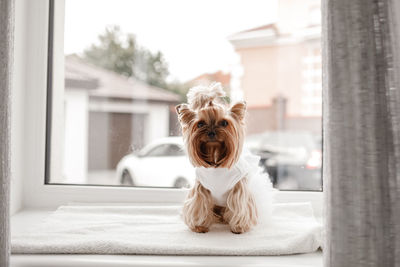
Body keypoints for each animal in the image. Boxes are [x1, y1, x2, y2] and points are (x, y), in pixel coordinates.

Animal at [177, 82, 274, 234]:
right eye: (200, 124)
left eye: (224, 123)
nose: (211, 132)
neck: (215, 158)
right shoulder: (201, 189)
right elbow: (199, 204)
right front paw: (200, 226)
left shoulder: (238, 188)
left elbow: (239, 206)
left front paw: (239, 227)